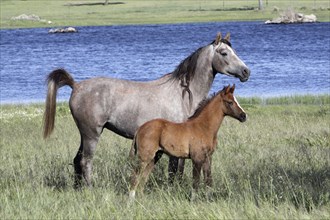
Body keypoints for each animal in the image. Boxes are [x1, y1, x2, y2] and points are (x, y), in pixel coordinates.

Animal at [43, 32, 250, 187]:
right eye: (224, 53)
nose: (246, 72)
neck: (184, 94)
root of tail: (76, 86)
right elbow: (175, 170)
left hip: (85, 135)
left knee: (77, 160)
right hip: (92, 135)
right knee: (86, 162)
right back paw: (90, 188)